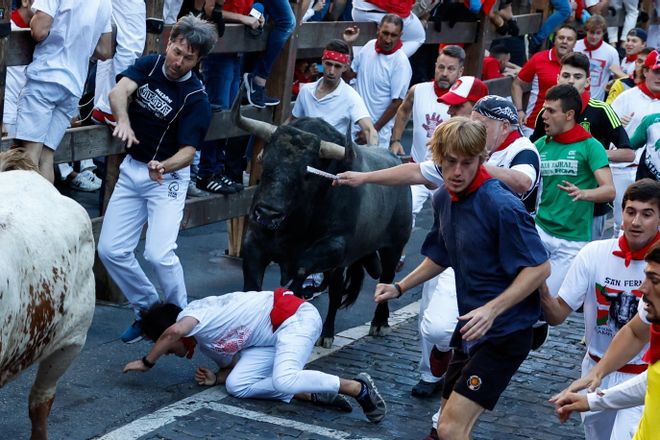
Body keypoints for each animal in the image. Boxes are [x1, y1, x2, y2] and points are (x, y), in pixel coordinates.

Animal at [236, 102, 412, 348]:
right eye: (266, 162)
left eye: (306, 174)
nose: (268, 214)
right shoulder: (254, 244)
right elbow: (252, 285)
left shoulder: (334, 246)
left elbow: (301, 269)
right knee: (337, 291)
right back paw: (327, 333)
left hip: (393, 246)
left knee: (385, 279)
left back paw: (379, 323)